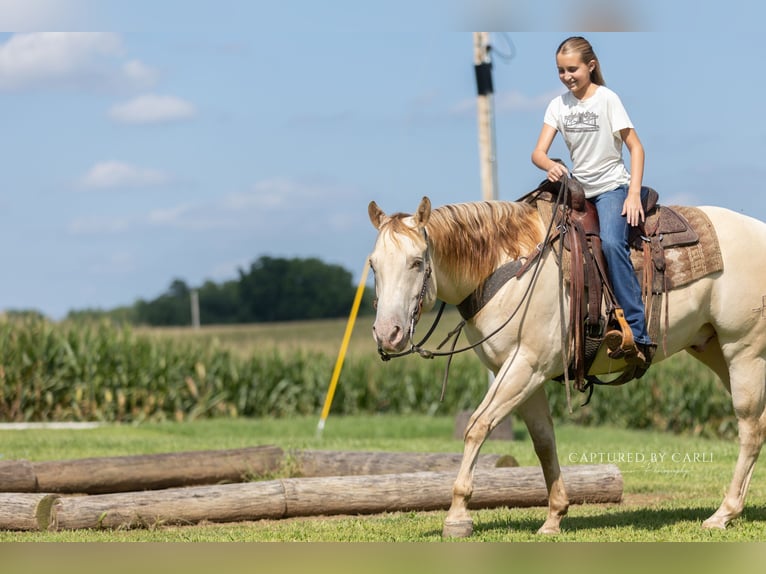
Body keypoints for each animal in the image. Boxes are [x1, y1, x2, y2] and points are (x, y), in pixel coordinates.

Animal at [367, 194, 766, 537]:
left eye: (417, 262)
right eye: (373, 265)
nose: (388, 334)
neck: (509, 267)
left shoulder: (524, 367)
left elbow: (477, 427)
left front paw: (457, 516)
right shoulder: (523, 375)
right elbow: (544, 441)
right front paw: (554, 516)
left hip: (743, 351)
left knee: (750, 429)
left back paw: (723, 514)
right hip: (713, 349)